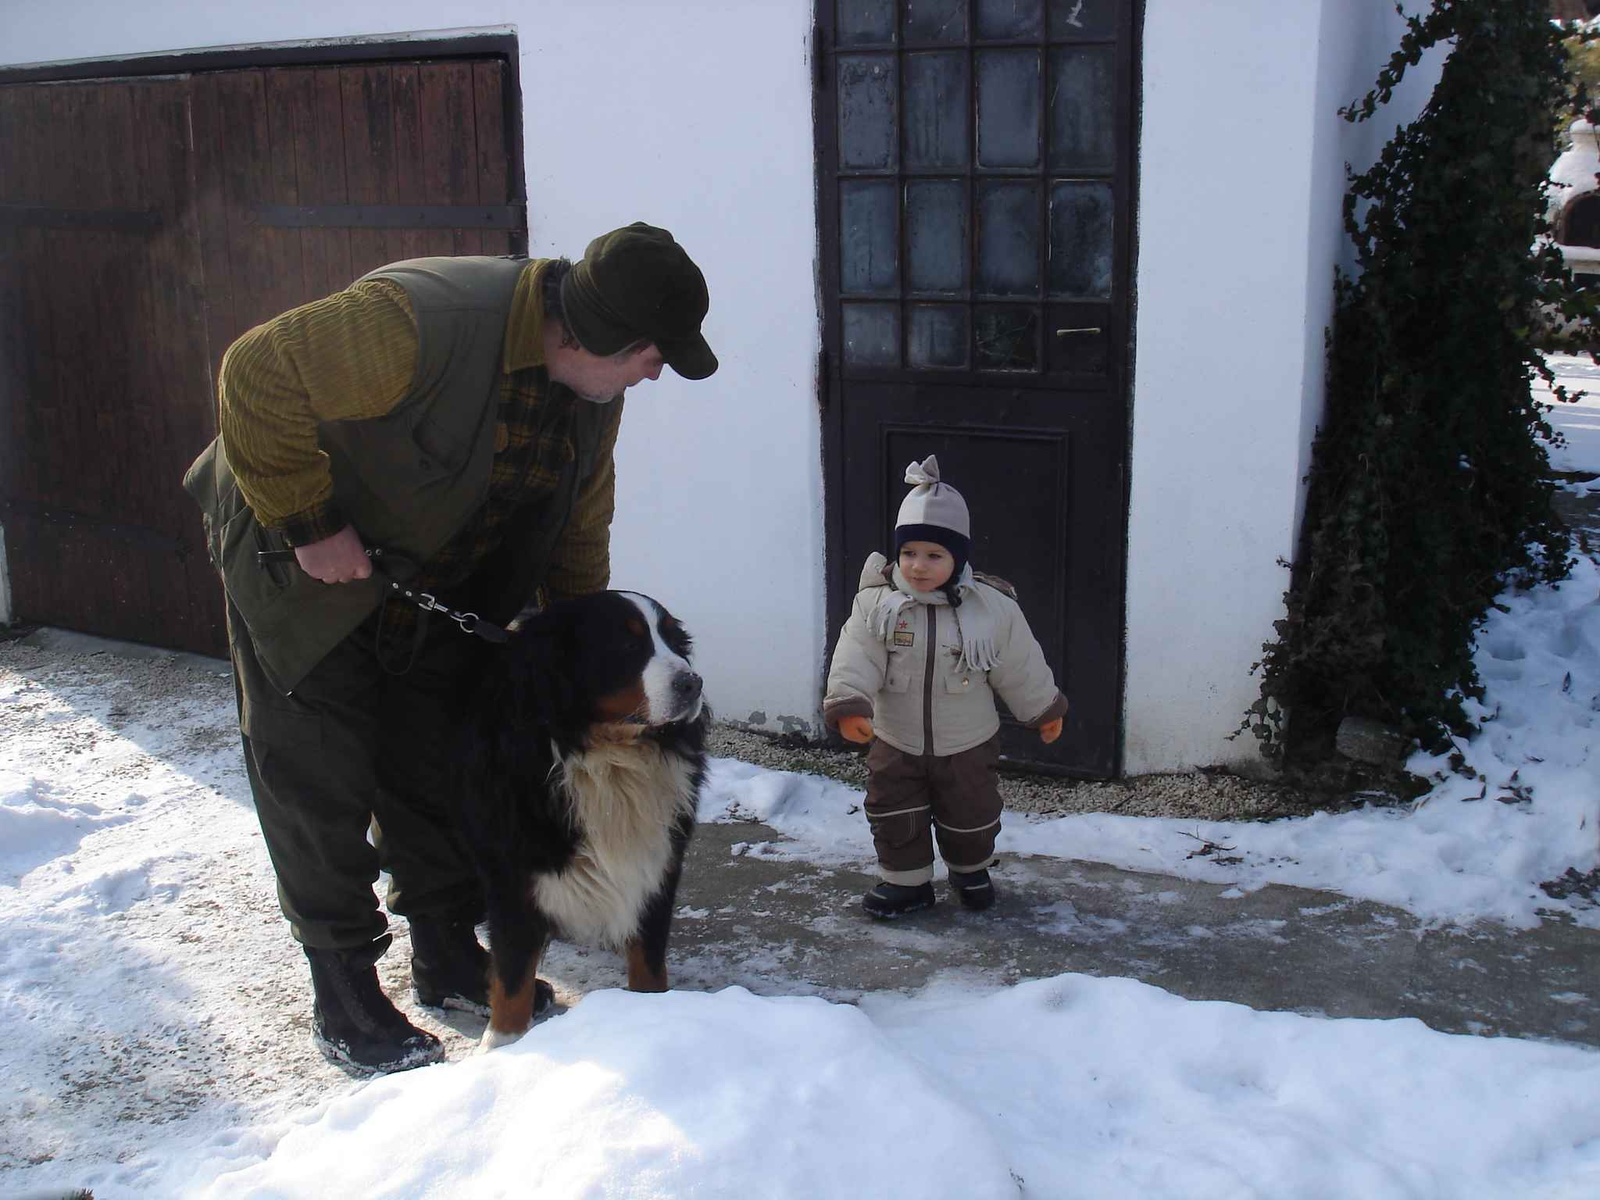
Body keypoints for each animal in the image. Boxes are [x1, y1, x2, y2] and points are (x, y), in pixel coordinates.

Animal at [467, 588, 710, 1049]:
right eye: (628, 644)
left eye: (674, 641)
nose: (692, 684)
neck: (609, 759)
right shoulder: (513, 875)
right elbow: (512, 977)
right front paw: (503, 1045)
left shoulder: (657, 866)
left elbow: (648, 959)